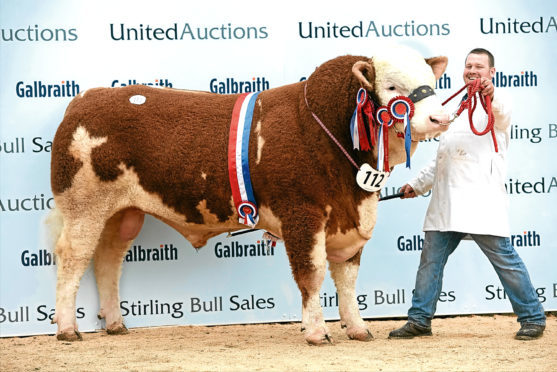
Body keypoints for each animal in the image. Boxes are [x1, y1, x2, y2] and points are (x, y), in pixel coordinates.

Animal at [48, 46, 448, 346]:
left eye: (432, 83)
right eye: (392, 86)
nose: (440, 118)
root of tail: (86, 97)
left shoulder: (348, 219)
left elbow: (347, 278)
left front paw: (358, 328)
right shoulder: (301, 214)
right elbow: (312, 273)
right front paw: (317, 332)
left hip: (122, 213)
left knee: (108, 260)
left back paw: (115, 323)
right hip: (83, 206)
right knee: (73, 258)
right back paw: (67, 329)